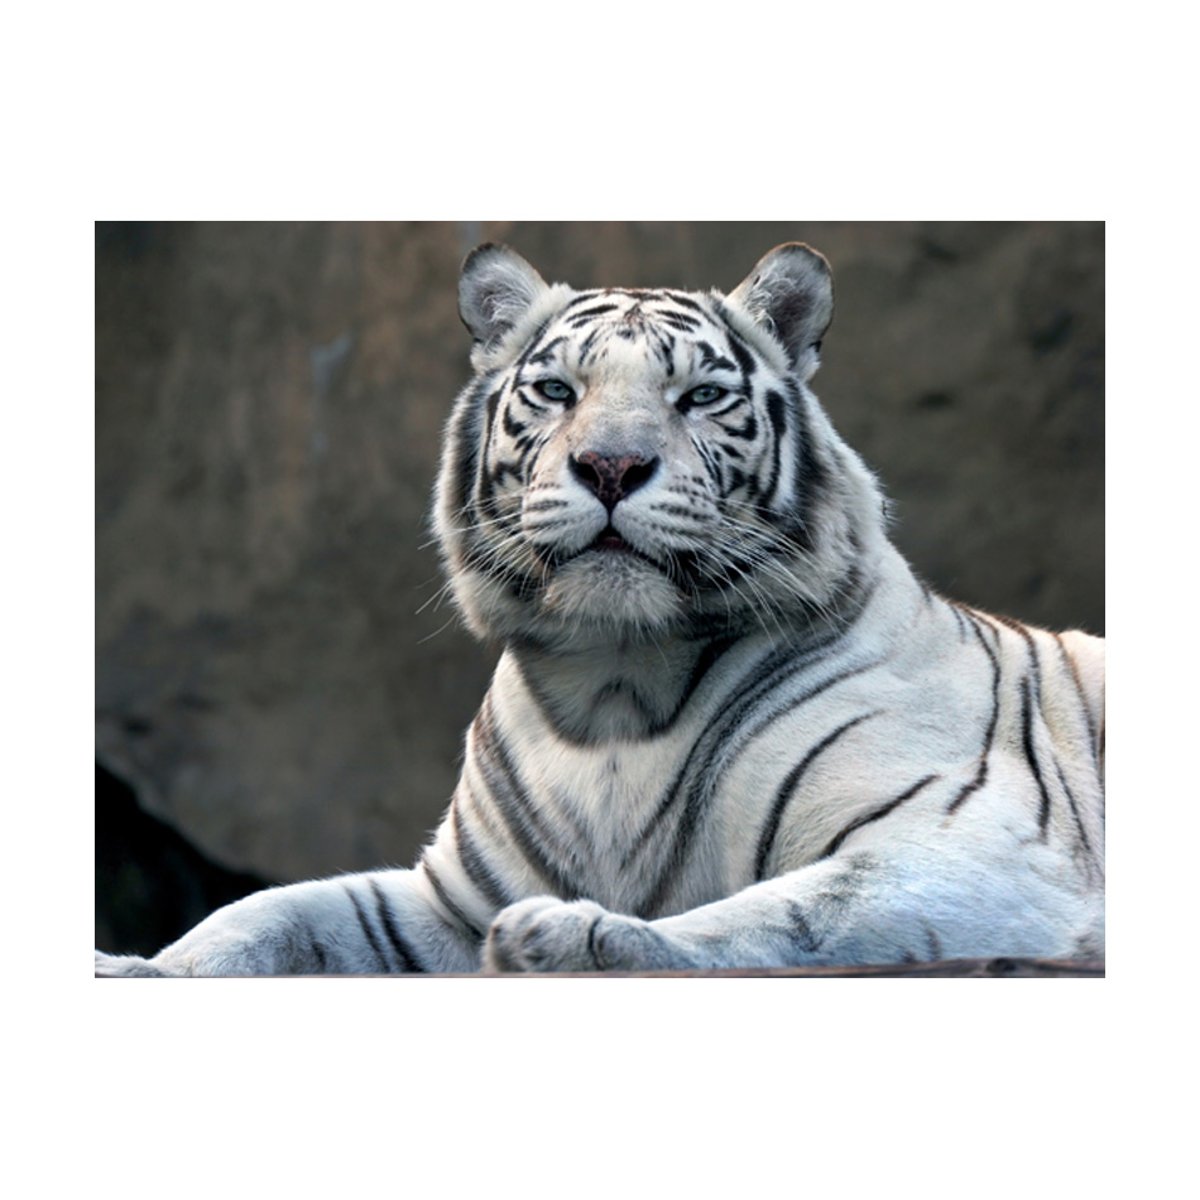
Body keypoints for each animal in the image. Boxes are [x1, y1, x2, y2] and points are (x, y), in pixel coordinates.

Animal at [95, 241, 1105, 976]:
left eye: (700, 396)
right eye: (556, 390)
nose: (612, 465)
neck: (613, 687)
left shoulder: (974, 845)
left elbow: (783, 915)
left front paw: (576, 937)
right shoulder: (446, 902)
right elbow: (272, 911)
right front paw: (142, 967)